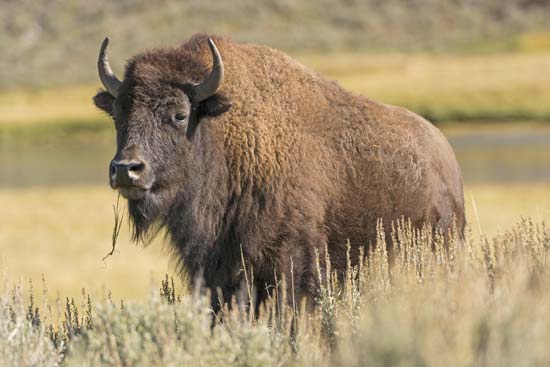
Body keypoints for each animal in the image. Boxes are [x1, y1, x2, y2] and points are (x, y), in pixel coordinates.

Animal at [94, 33, 466, 310]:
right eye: (118, 113)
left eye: (179, 114)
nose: (127, 169)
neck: (226, 134)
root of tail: (446, 157)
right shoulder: (217, 270)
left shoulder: (291, 260)